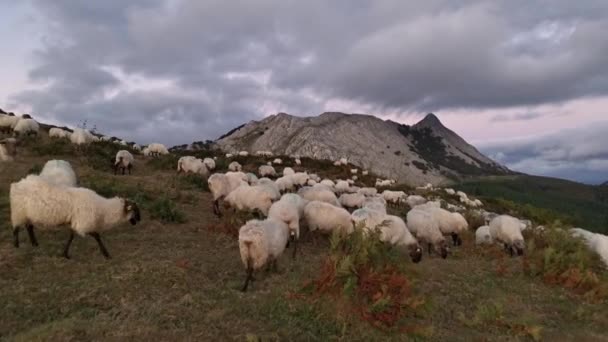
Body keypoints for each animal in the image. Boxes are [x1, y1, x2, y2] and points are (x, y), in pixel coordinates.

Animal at [10, 176, 141, 260]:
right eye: (135, 210)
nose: (139, 220)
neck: (103, 208)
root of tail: (17, 184)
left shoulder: (76, 222)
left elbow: (71, 236)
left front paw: (65, 254)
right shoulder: (83, 222)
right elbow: (97, 236)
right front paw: (106, 254)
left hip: (27, 213)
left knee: (29, 227)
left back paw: (35, 244)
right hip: (19, 211)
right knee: (16, 228)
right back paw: (16, 245)